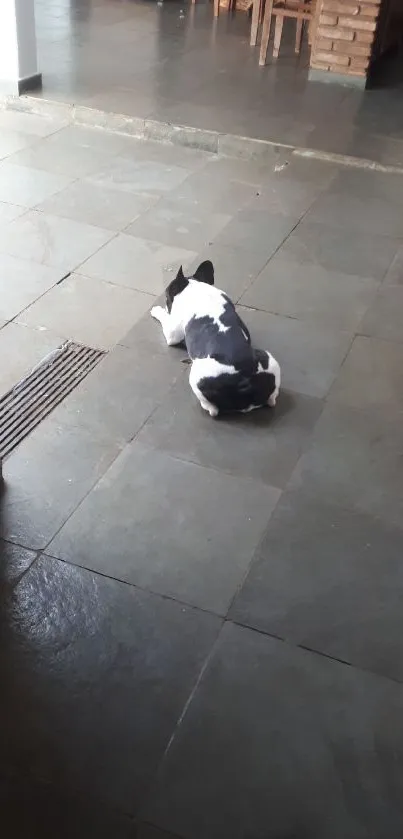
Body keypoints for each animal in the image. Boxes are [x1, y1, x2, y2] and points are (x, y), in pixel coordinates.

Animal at [152, 260, 280, 418]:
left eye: (167, 297)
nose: (166, 304)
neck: (198, 290)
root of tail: (246, 382)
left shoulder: (172, 333)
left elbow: (165, 319)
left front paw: (157, 310)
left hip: (196, 375)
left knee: (212, 409)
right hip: (267, 357)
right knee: (273, 397)